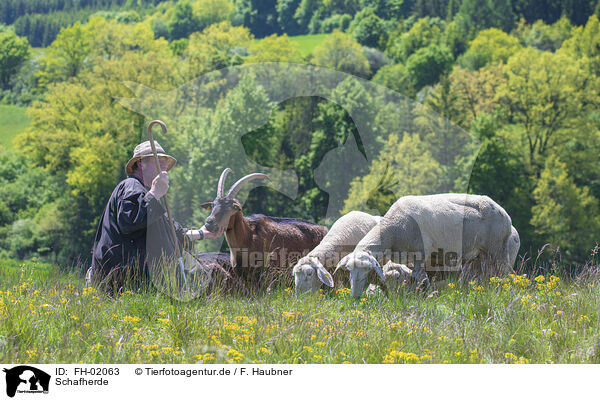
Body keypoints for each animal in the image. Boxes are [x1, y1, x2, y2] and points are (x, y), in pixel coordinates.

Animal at [338, 194, 516, 296]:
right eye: (349, 271)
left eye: (367, 270)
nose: (355, 296)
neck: (392, 229)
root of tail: (504, 213)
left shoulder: (421, 253)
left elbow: (419, 278)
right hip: (480, 256)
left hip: (498, 250)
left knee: (507, 275)